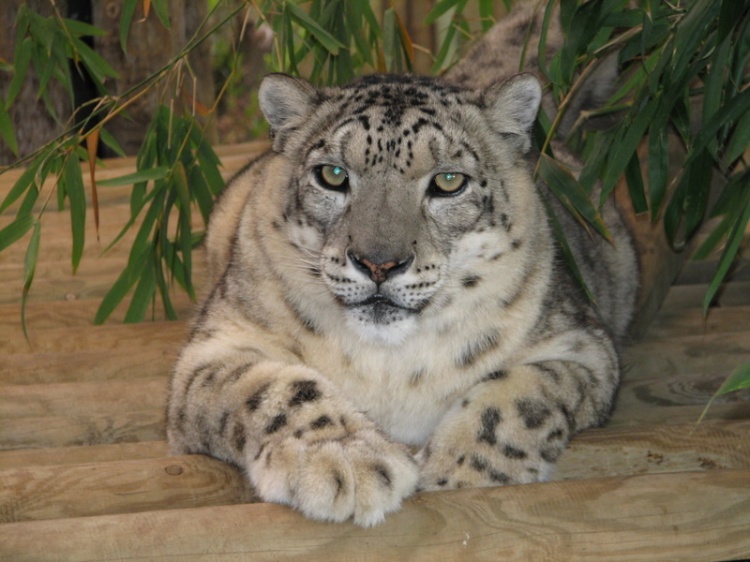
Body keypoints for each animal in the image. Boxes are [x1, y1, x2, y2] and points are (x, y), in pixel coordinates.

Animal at [167, 3, 638, 527]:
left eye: (449, 181)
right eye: (332, 174)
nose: (379, 264)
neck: (389, 368)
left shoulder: (581, 347)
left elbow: (521, 393)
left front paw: (458, 469)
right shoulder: (214, 349)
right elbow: (277, 391)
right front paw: (345, 462)